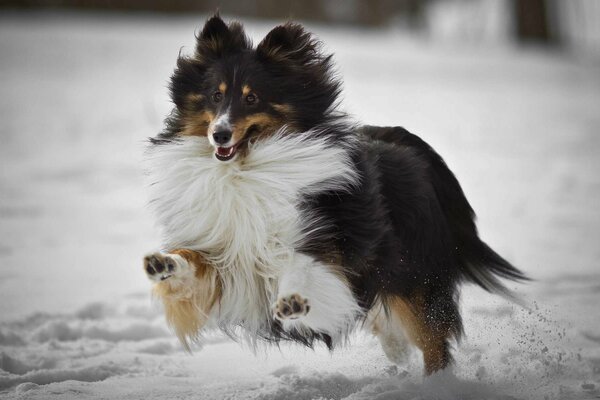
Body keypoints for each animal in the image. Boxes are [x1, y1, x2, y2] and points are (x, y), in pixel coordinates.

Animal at [143, 13, 528, 376]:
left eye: (252, 98)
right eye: (216, 95)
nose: (220, 135)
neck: (245, 168)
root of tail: (403, 139)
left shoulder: (323, 247)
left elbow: (302, 265)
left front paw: (293, 301)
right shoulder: (225, 258)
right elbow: (191, 261)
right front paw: (163, 264)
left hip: (415, 276)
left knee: (433, 341)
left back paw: (435, 383)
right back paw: (396, 350)